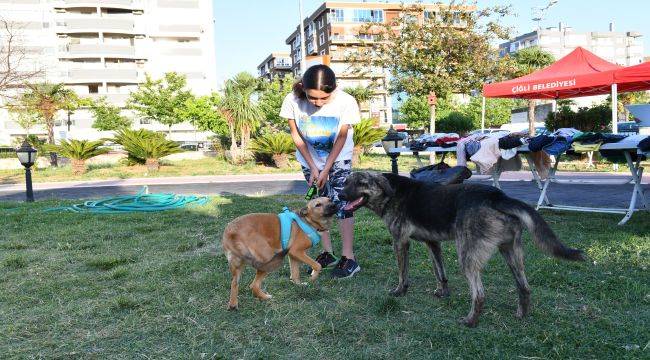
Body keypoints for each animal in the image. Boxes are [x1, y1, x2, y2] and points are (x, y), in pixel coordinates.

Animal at [340, 171, 584, 326]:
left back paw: (471, 321)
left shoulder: (400, 242)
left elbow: (403, 273)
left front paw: (400, 291)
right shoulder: (433, 243)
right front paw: (443, 292)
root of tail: (498, 196)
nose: (340, 195)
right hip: (511, 252)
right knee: (524, 287)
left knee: (480, 294)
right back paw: (521, 315)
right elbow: (440, 272)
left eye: (361, 183)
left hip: (466, 257)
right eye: (345, 182)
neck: (391, 192)